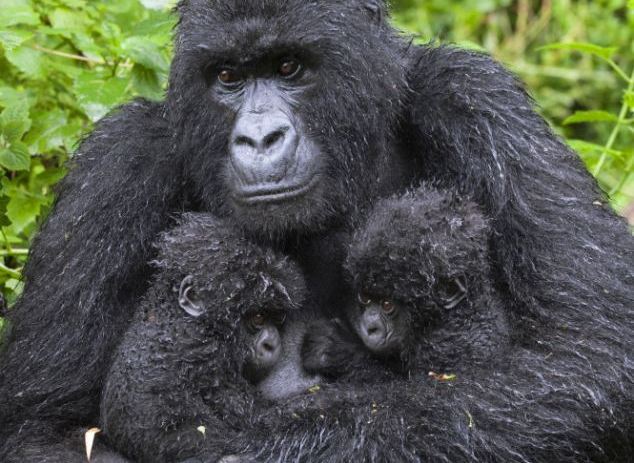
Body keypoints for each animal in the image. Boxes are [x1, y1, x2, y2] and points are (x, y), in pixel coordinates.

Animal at [101, 216, 318, 463]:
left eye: (278, 317)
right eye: (258, 317)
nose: (272, 344)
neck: (174, 315)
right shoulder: (204, 351)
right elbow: (260, 419)